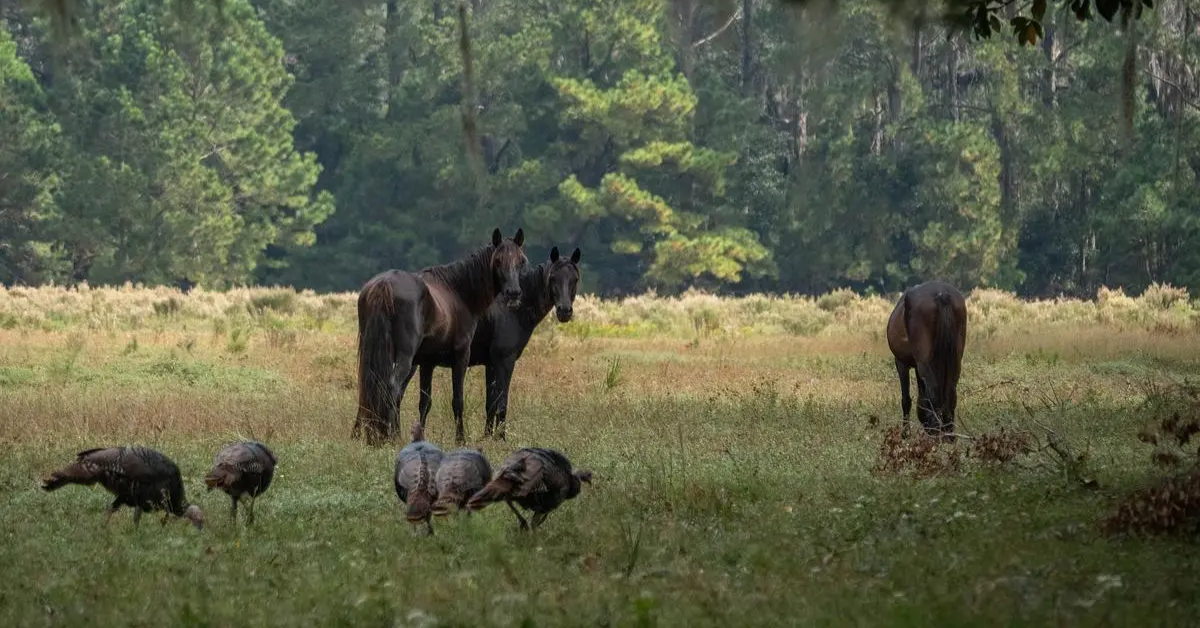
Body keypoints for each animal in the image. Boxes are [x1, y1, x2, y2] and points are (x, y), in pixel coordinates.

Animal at [352, 228, 528, 446]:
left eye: (520, 260)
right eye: (497, 261)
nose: (513, 293)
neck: (458, 292)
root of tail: (384, 284)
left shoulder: (427, 363)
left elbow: (425, 402)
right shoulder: (461, 356)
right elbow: (457, 400)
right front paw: (460, 439)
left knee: (368, 389)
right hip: (404, 358)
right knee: (392, 388)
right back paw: (391, 436)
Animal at [414, 246, 582, 440]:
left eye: (575, 279)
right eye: (553, 277)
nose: (564, 311)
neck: (512, 309)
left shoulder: (491, 364)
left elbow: (491, 404)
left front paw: (487, 437)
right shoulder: (505, 361)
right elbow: (502, 402)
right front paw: (500, 438)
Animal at [886, 280, 967, 439]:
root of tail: (942, 294)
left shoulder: (902, 363)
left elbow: (906, 400)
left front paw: (906, 434)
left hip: (923, 364)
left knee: (934, 394)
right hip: (954, 361)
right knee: (950, 393)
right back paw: (948, 434)